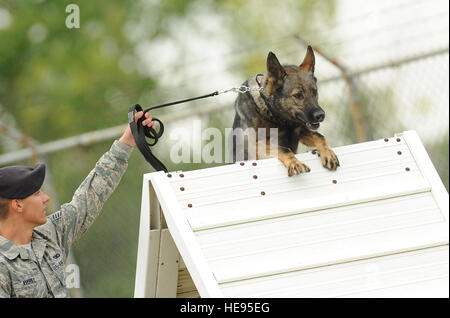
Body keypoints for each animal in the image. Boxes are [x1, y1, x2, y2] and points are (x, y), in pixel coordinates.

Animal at [230, 46, 340, 176]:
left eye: (314, 92)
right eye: (298, 95)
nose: (321, 115)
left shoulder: (300, 131)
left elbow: (319, 136)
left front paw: (328, 153)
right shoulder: (257, 144)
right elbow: (283, 148)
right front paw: (295, 163)